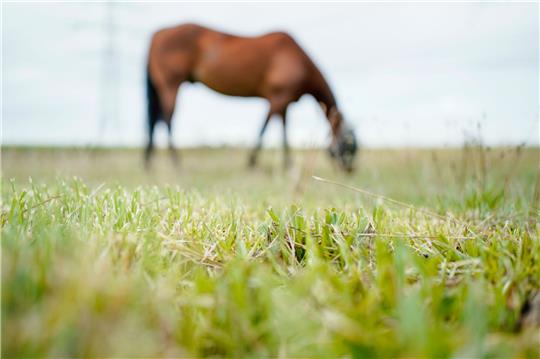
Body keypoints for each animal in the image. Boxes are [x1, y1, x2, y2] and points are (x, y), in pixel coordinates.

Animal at [146, 24, 356, 173]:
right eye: (349, 144)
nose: (350, 170)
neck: (299, 62)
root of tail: (158, 34)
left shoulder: (284, 102)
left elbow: (283, 130)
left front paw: (286, 164)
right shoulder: (277, 99)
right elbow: (265, 128)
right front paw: (253, 162)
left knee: (155, 120)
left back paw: (147, 162)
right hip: (171, 84)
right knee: (166, 119)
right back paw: (176, 163)